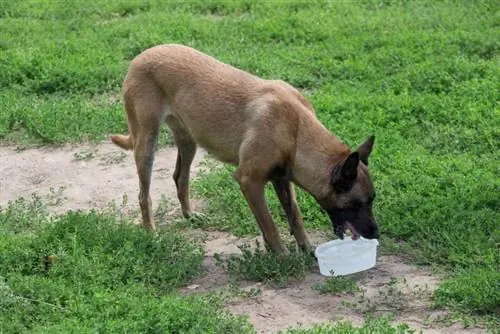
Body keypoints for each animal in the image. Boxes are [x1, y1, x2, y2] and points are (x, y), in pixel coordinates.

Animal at [110, 43, 378, 253]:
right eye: (358, 204)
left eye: (372, 200)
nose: (376, 234)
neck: (296, 129)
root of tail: (141, 56)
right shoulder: (250, 181)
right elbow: (270, 225)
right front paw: (282, 257)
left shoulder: (281, 178)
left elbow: (294, 215)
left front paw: (306, 248)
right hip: (146, 144)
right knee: (144, 195)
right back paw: (151, 232)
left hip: (188, 141)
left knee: (180, 177)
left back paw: (189, 215)